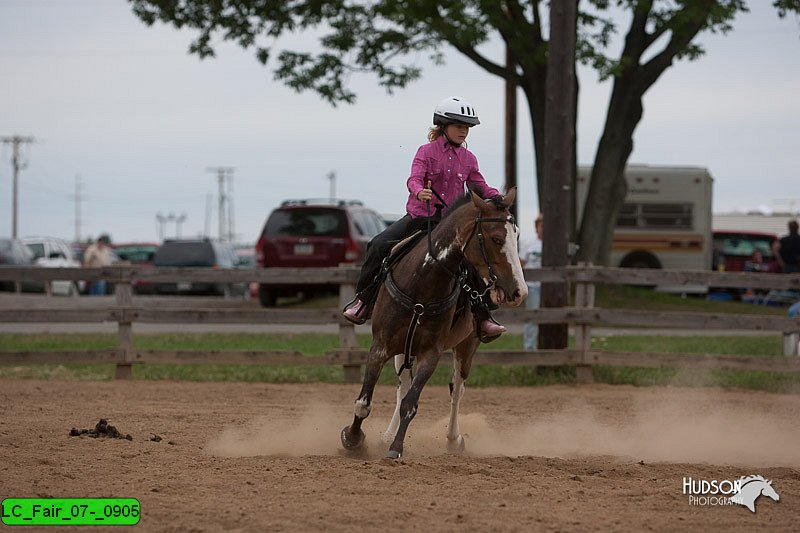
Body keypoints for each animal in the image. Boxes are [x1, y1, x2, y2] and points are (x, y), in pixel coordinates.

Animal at [340, 188, 528, 458]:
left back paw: (452, 439)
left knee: (457, 389)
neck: (422, 284)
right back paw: (386, 434)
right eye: (495, 239)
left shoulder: (431, 353)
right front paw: (353, 439)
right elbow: (365, 401)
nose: (519, 291)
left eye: (517, 236)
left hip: (466, 346)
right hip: (403, 350)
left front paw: (396, 448)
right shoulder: (381, 346)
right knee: (402, 386)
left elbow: (411, 402)